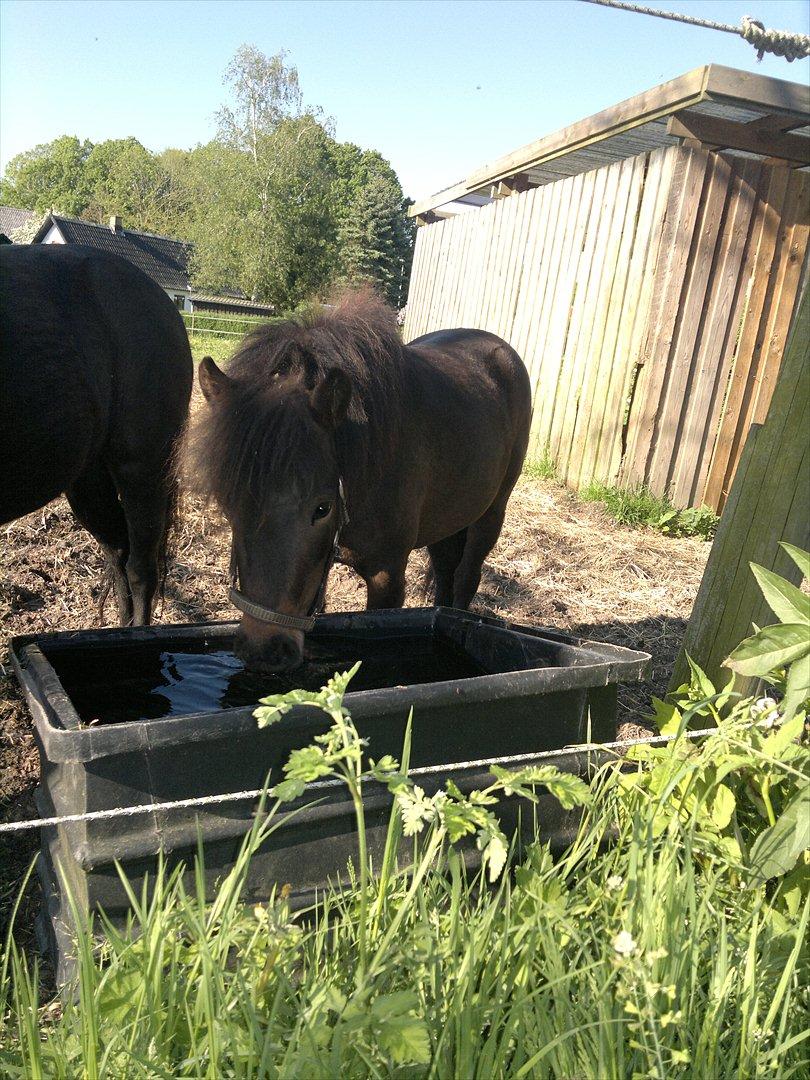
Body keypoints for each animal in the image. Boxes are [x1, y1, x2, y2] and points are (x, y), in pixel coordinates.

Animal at [186, 291, 535, 669]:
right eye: (228, 504)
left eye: (322, 508)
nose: (265, 651)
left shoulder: (386, 577)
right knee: (445, 573)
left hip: (491, 513)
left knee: (465, 578)